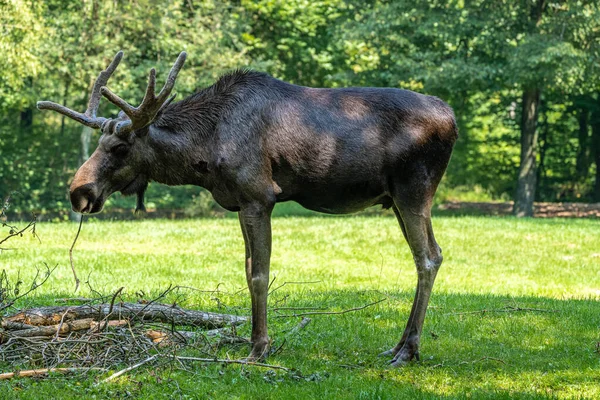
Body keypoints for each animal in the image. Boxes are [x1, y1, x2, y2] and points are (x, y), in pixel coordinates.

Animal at [39, 50, 458, 366]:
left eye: (121, 147)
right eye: (99, 144)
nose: (79, 192)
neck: (203, 152)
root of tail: (453, 120)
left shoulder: (259, 196)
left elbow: (259, 274)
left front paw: (259, 348)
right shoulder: (239, 202)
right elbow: (245, 271)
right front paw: (252, 341)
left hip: (414, 189)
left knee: (429, 256)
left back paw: (409, 351)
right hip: (396, 200)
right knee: (428, 255)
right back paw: (399, 345)